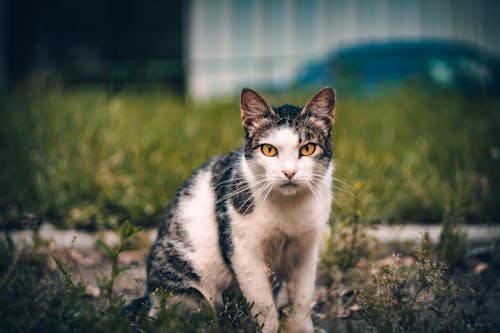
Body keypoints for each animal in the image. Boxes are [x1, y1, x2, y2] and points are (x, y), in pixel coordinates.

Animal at [138, 87, 336, 330]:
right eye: (269, 150)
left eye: (307, 148)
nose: (289, 172)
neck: (288, 209)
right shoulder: (242, 251)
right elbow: (262, 303)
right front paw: (269, 328)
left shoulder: (307, 250)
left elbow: (303, 299)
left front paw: (301, 328)